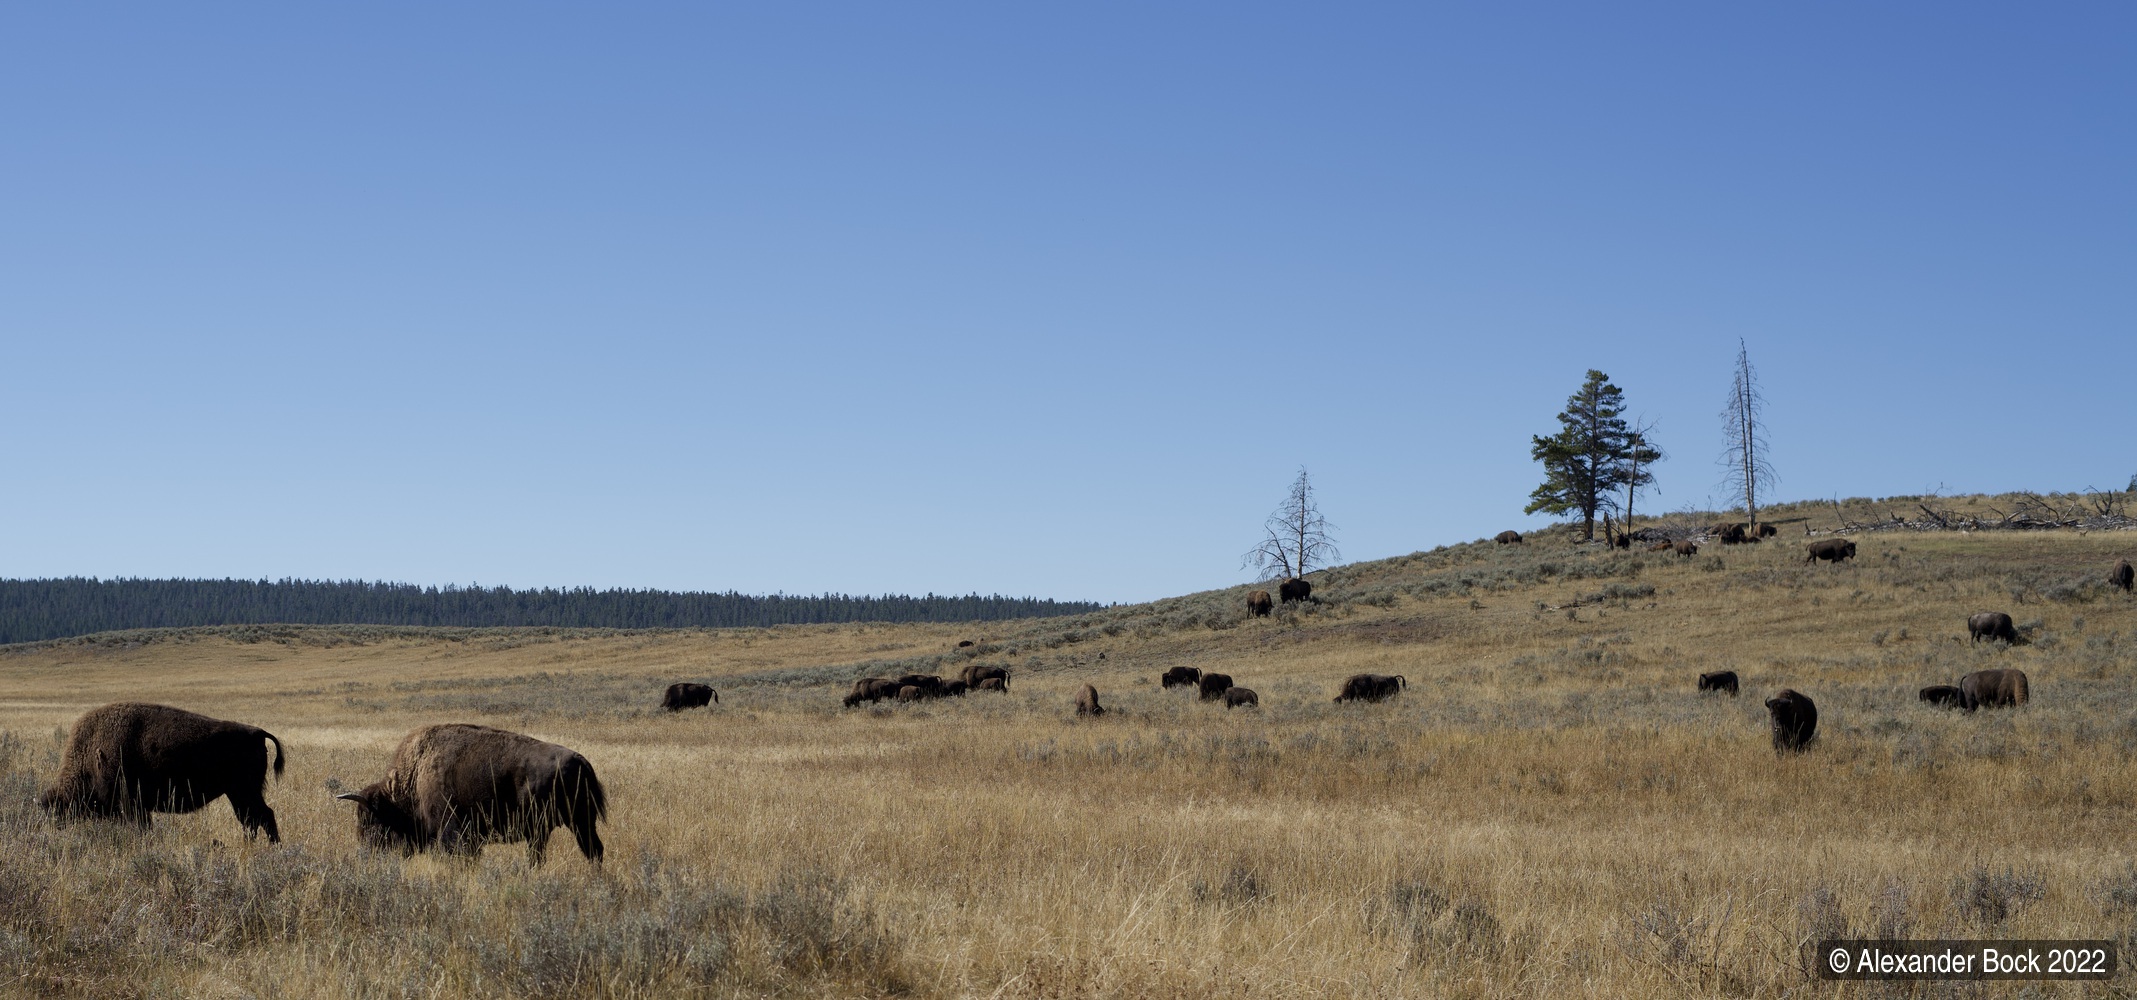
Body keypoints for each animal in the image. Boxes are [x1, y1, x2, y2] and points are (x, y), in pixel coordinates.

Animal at [41, 705, 288, 841]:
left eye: (59, 808)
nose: (55, 829)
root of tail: (258, 732)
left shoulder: (132, 805)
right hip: (238, 794)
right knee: (253, 820)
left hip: (244, 792)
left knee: (261, 817)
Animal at [333, 722, 606, 863]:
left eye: (371, 821)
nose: (368, 856)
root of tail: (579, 760)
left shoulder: (452, 832)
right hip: (580, 822)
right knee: (594, 850)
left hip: (548, 827)